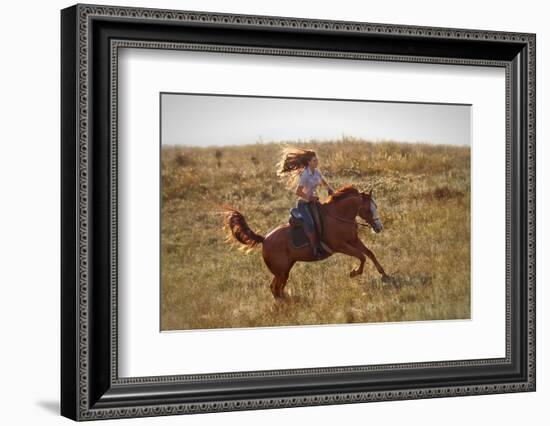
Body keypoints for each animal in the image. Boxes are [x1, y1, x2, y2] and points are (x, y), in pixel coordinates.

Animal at [223, 186, 388, 300]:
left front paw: (384, 274)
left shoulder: (353, 240)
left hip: (285, 270)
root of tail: (264, 239)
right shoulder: (340, 246)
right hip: (281, 271)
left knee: (277, 288)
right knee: (275, 288)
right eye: (368, 209)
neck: (338, 216)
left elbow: (369, 253)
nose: (379, 227)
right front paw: (354, 272)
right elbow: (361, 256)